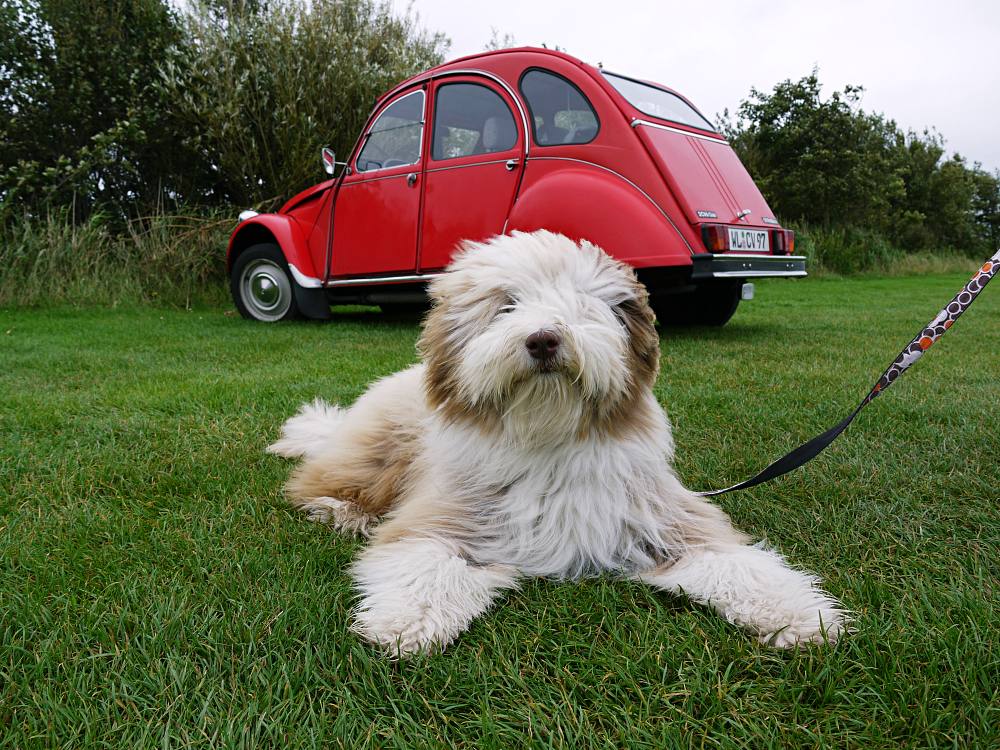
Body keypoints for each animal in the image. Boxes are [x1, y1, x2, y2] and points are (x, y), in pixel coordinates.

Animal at [270, 232, 848, 656]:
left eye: (584, 307)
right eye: (506, 306)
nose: (544, 338)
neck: (547, 438)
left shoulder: (671, 518)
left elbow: (739, 565)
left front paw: (801, 615)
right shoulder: (440, 517)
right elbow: (422, 565)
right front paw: (405, 623)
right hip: (378, 453)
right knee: (317, 479)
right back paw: (342, 512)